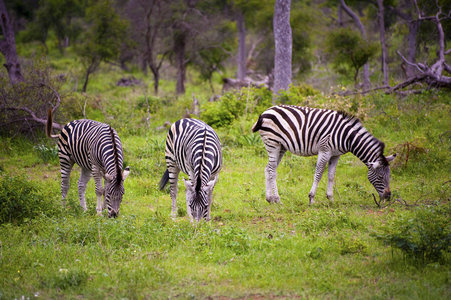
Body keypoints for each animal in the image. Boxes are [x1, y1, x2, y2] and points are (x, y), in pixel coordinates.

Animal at [252, 104, 398, 205]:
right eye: (380, 177)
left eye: (389, 176)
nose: (388, 196)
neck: (347, 137)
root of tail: (265, 112)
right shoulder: (325, 150)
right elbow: (319, 173)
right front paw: (311, 198)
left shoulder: (335, 155)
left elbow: (331, 176)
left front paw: (331, 199)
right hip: (273, 144)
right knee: (272, 170)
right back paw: (278, 200)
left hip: (281, 147)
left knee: (268, 169)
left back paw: (269, 199)